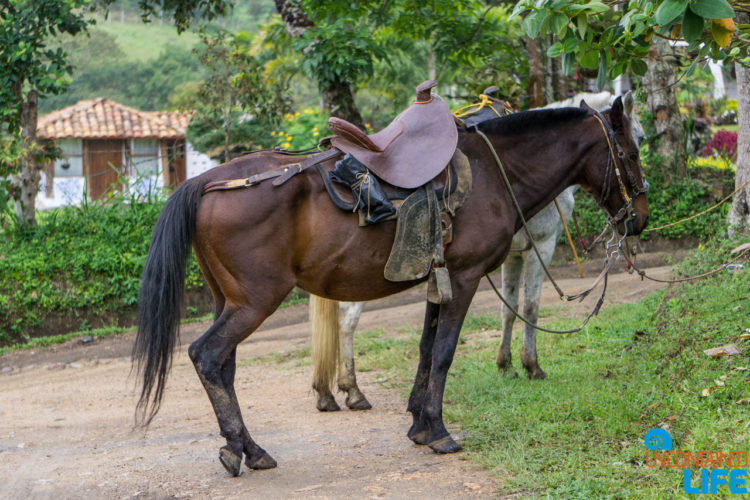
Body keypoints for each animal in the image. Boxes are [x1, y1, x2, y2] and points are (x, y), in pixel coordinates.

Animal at [312, 90, 648, 410]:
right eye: (638, 144)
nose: (639, 218)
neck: (514, 171)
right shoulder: (541, 246)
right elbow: (531, 306)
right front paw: (532, 366)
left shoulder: (514, 255)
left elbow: (509, 308)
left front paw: (506, 365)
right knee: (347, 321)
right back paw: (353, 390)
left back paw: (330, 393)